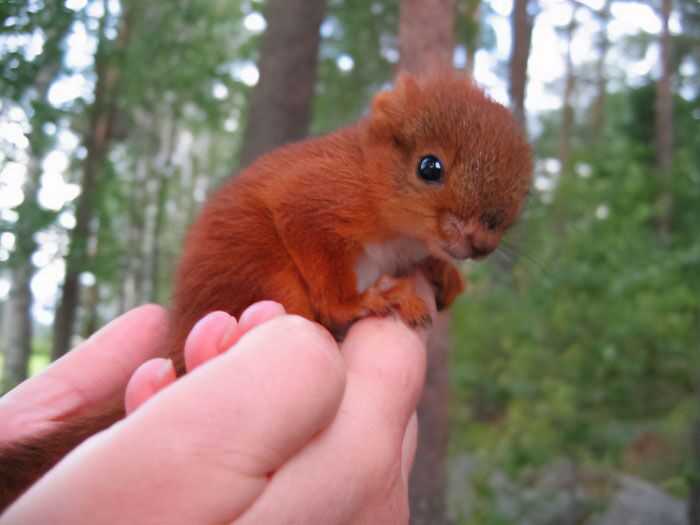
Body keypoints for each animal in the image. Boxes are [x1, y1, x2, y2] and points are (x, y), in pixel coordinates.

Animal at [0, 72, 532, 510]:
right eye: (429, 168)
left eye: (523, 192)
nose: (481, 243)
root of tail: (183, 329)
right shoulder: (316, 201)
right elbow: (319, 254)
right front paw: (364, 301)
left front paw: (442, 271)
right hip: (260, 272)